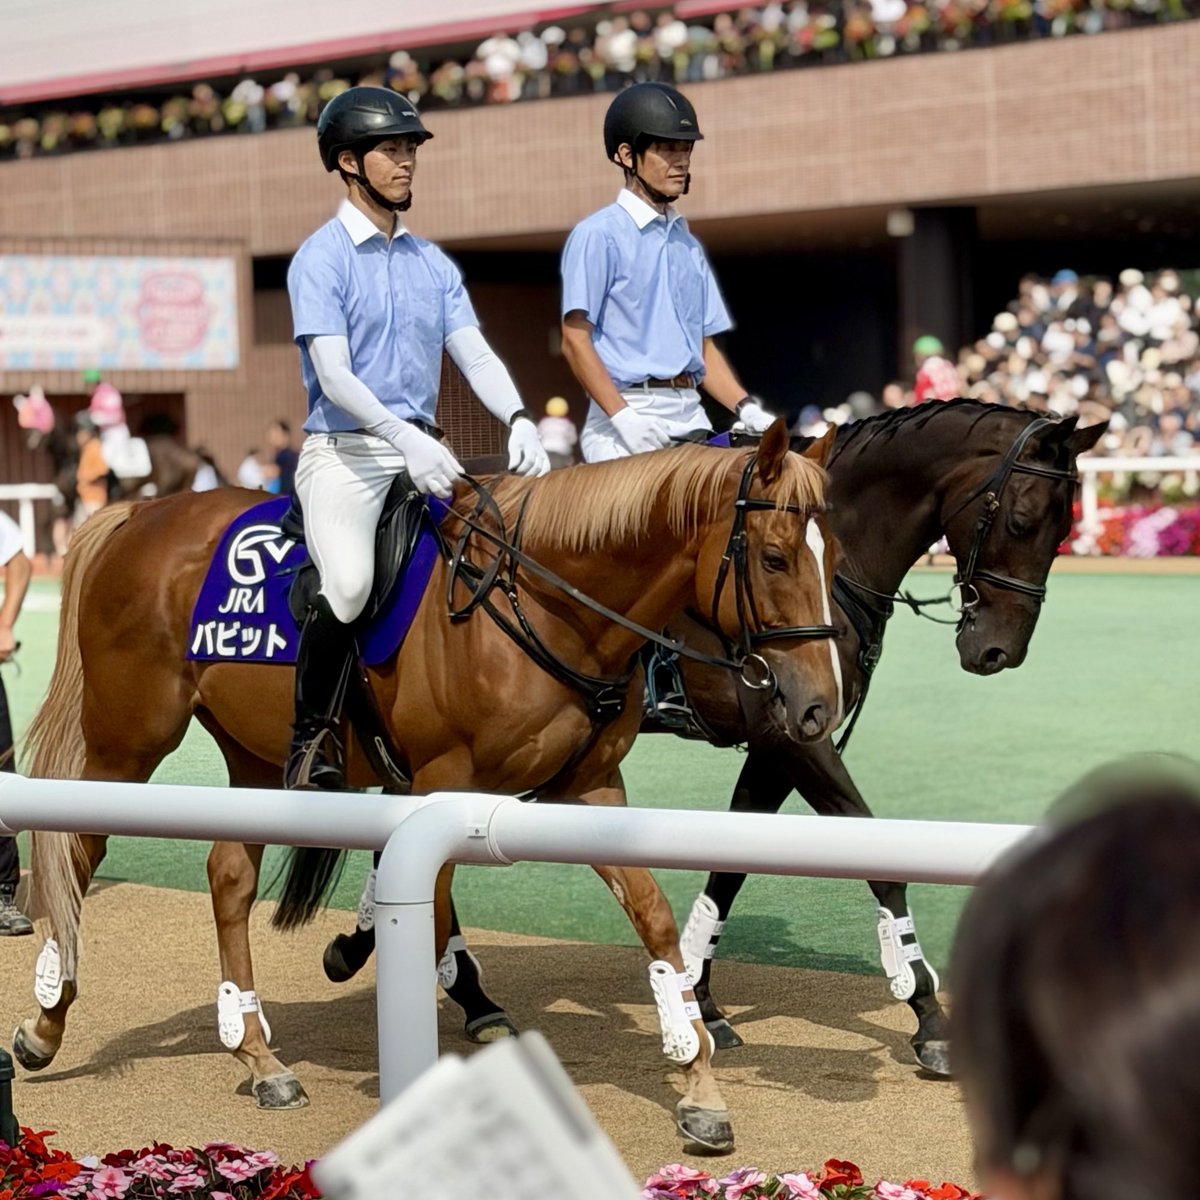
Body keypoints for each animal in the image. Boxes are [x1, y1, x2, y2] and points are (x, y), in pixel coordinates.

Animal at [15, 422, 841, 1154]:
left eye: (830, 558)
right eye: (774, 558)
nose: (817, 706)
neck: (539, 603)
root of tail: (138, 513)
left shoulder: (593, 791)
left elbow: (654, 920)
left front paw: (699, 1084)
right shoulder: (439, 787)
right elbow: (434, 909)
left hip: (249, 755)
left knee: (227, 878)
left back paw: (256, 1053)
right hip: (128, 739)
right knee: (78, 851)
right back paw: (46, 1023)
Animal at [373, 401, 1105, 1076]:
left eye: (1066, 528)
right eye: (1021, 520)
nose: (999, 650)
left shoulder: (787, 735)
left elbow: (731, 863)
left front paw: (701, 993)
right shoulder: (796, 739)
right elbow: (878, 857)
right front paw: (927, 1012)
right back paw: (465, 993)